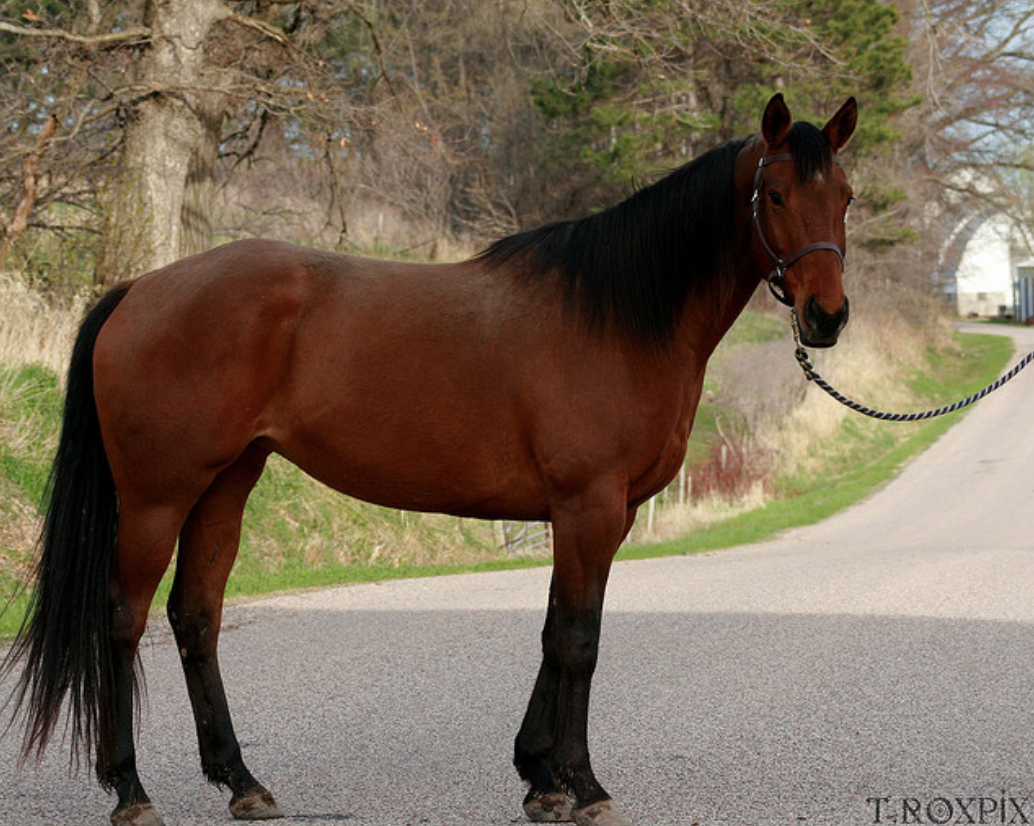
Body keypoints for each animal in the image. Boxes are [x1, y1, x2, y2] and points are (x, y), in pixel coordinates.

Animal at [2, 92, 856, 826]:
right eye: (775, 194)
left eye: (844, 195)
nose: (828, 316)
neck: (618, 318)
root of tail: (139, 288)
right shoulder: (587, 505)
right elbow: (579, 642)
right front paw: (583, 785)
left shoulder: (595, 517)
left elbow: (554, 632)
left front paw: (539, 777)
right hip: (157, 494)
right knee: (123, 618)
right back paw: (130, 790)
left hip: (226, 483)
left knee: (196, 616)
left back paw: (242, 782)